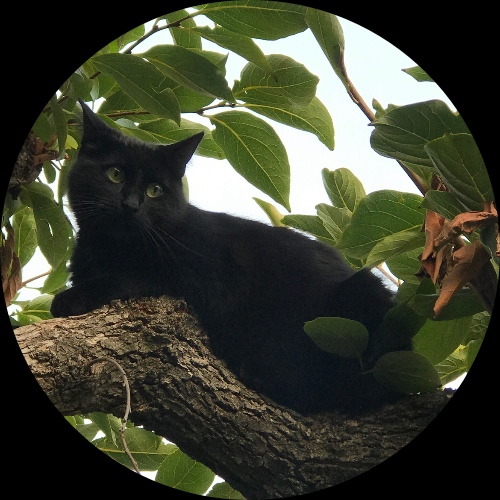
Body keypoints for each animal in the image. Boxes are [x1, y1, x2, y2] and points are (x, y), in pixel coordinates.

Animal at [51, 100, 407, 414]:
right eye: (115, 175)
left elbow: (127, 279)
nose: (131, 205)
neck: (107, 249)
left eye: (155, 190)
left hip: (361, 299)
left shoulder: (203, 280)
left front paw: (69, 299)